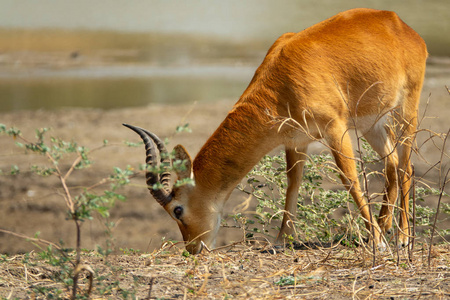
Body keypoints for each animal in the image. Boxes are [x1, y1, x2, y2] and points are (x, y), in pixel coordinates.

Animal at [123, 8, 426, 253]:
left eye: (177, 209)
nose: (193, 249)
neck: (282, 81)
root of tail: (400, 24)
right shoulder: (295, 141)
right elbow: (292, 185)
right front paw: (281, 241)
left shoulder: (335, 128)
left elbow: (350, 180)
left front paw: (378, 243)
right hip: (370, 124)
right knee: (392, 162)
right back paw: (386, 225)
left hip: (406, 110)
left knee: (405, 166)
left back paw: (401, 238)